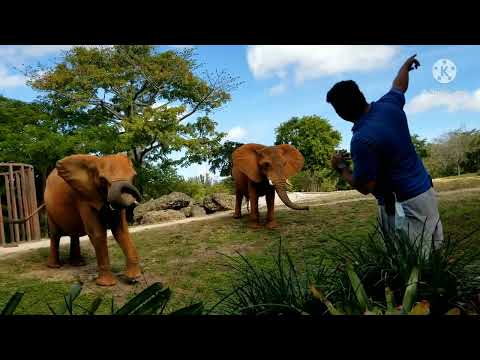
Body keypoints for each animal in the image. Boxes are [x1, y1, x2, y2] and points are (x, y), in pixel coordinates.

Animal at [43, 153, 142, 286]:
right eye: (103, 180)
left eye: (134, 176)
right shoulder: (84, 197)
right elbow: (97, 233)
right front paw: (106, 284)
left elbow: (121, 231)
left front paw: (134, 279)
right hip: (49, 208)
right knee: (55, 235)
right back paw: (55, 266)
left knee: (74, 234)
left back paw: (78, 264)